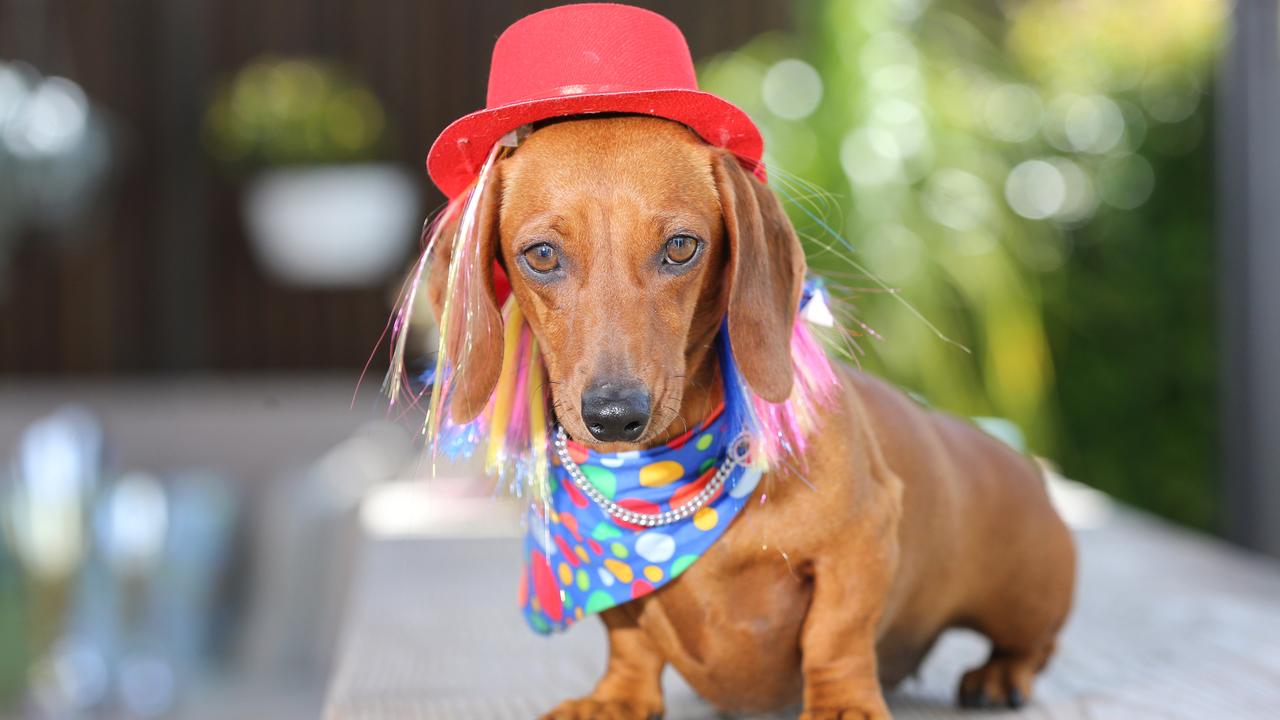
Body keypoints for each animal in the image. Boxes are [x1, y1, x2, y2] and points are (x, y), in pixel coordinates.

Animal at [424, 114, 1075, 712]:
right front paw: (618, 698)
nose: (614, 415)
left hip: (1026, 597)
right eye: (541, 255)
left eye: (680, 247)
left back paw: (999, 676)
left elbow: (836, 635)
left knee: (1035, 646)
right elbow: (629, 639)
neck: (662, 476)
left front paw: (842, 703)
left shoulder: (861, 537)